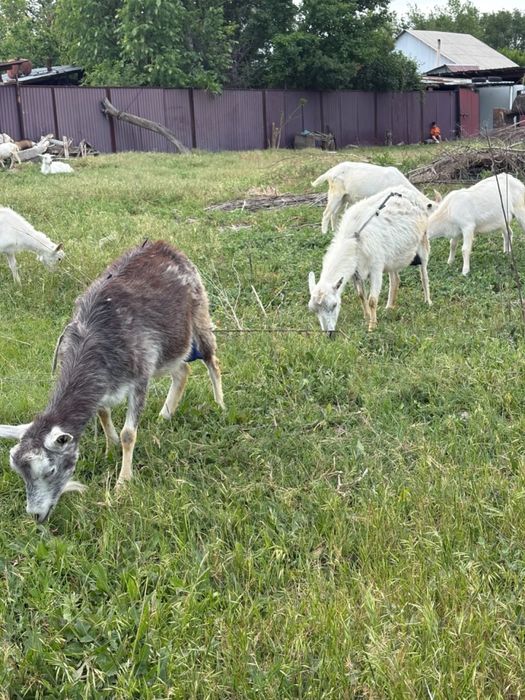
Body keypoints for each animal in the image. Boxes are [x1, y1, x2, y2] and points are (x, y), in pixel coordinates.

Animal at [5, 241, 224, 523]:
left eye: (50, 471)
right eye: (20, 473)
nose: (35, 515)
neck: (92, 344)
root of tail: (161, 245)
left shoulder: (140, 378)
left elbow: (129, 434)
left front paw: (123, 483)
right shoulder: (104, 386)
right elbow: (103, 413)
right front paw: (110, 449)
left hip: (199, 313)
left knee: (211, 360)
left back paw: (220, 405)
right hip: (165, 354)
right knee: (183, 370)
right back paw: (164, 415)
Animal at [308, 187, 434, 333]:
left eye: (334, 305)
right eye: (314, 310)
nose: (328, 333)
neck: (353, 240)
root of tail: (406, 190)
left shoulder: (376, 268)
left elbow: (372, 300)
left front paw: (372, 327)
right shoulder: (355, 273)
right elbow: (361, 295)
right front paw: (367, 316)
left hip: (423, 240)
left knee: (424, 274)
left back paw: (428, 301)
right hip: (391, 256)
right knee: (395, 279)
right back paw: (389, 307)